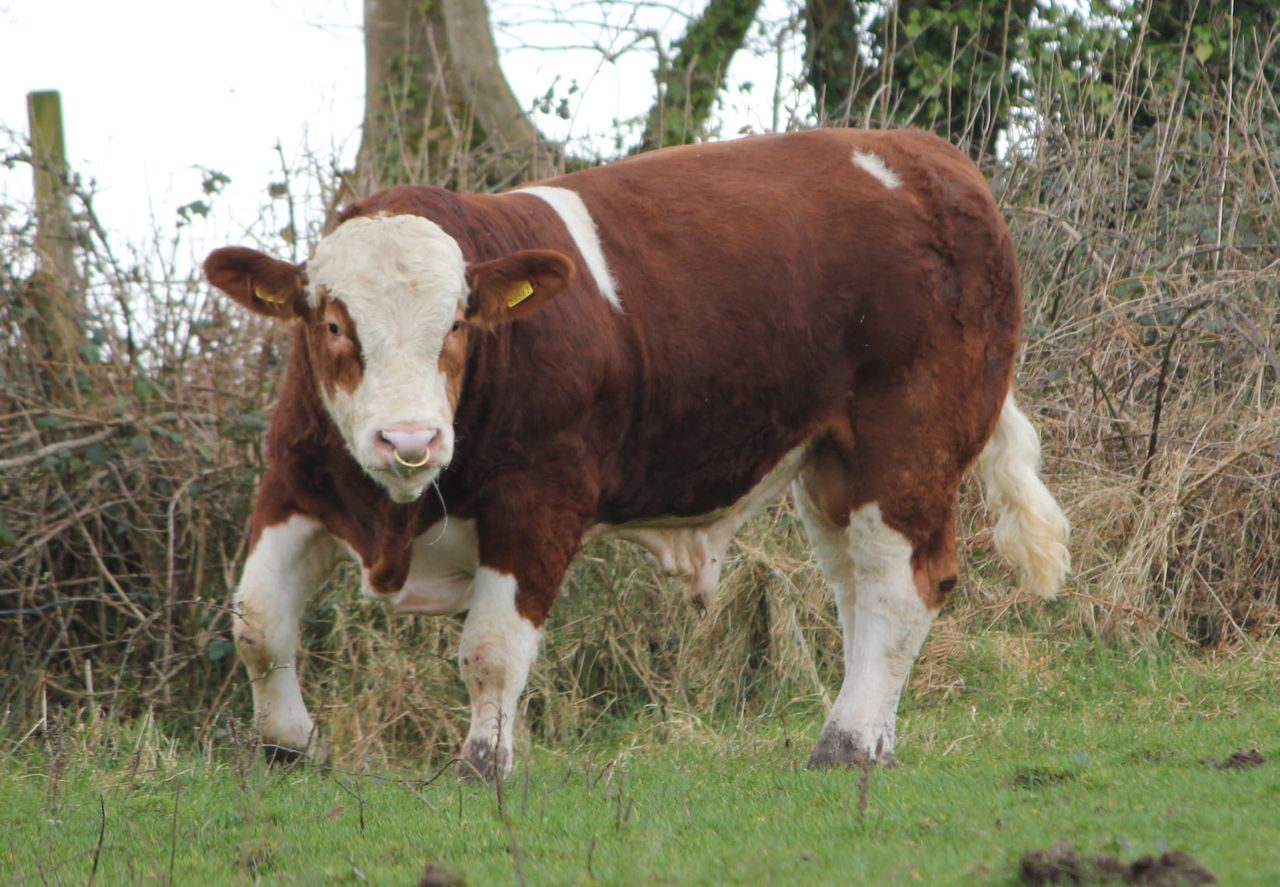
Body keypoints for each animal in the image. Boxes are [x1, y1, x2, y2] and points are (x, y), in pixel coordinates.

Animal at [205, 128, 1069, 780]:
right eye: (332, 323)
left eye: (456, 323)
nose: (410, 439)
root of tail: (929, 156)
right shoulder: (295, 482)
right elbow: (257, 620)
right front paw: (288, 745)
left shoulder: (538, 502)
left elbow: (490, 650)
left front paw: (483, 764)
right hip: (834, 463)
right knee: (858, 588)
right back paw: (873, 738)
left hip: (907, 439)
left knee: (902, 583)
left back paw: (846, 743)